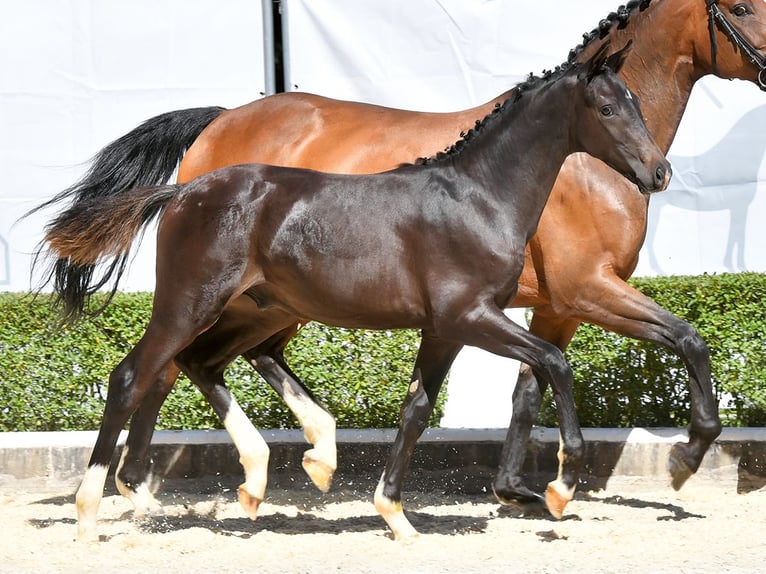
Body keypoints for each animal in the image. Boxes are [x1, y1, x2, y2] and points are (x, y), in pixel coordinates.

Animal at [30, 0, 766, 528]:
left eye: (638, 103)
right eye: (608, 107)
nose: (658, 173)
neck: (479, 192)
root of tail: (187, 184)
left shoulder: (476, 320)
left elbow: (444, 402)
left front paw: (460, 501)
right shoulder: (541, 300)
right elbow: (602, 357)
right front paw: (608, 471)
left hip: (261, 305)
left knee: (202, 362)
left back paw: (275, 467)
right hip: (196, 301)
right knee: (142, 374)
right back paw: (110, 501)